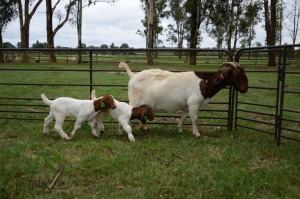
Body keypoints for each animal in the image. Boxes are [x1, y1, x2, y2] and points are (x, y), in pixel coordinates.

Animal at [119, 62, 248, 137]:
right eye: (235, 73)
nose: (245, 88)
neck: (205, 83)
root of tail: (133, 75)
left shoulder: (187, 106)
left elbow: (183, 117)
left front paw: (179, 129)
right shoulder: (194, 103)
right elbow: (195, 119)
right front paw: (197, 134)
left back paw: (144, 128)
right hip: (134, 101)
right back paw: (122, 131)